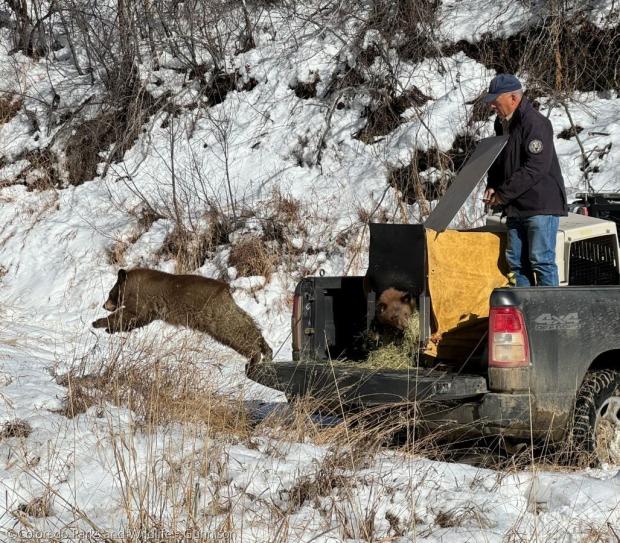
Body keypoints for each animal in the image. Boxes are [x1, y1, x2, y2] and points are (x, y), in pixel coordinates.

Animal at [91, 270, 272, 372]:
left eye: (110, 293)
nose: (104, 304)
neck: (131, 284)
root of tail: (226, 289)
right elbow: (135, 320)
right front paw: (108, 327)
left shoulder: (141, 299)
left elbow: (130, 315)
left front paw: (100, 323)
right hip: (224, 310)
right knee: (245, 321)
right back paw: (266, 349)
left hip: (215, 317)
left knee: (233, 330)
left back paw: (255, 356)